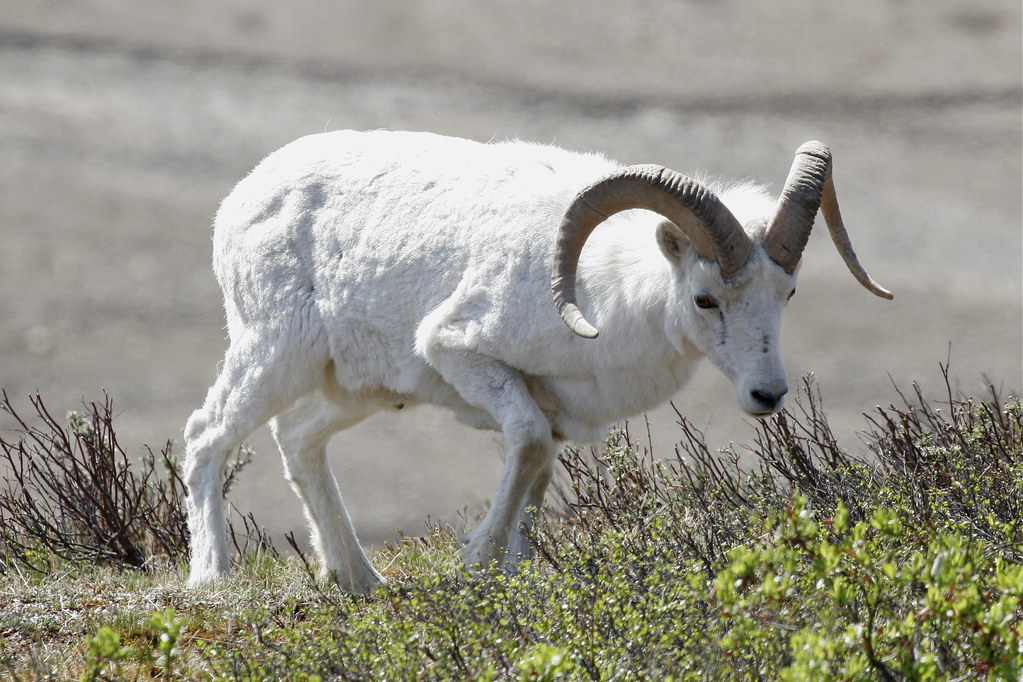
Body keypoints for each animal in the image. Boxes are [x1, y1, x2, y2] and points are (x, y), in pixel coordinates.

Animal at [183, 130, 892, 591]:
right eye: (705, 298)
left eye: (787, 294)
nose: (767, 396)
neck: (601, 293)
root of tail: (241, 201)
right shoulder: (464, 358)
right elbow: (524, 449)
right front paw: (477, 560)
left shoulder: (550, 409)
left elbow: (539, 474)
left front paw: (515, 570)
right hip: (274, 357)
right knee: (205, 437)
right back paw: (212, 578)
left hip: (353, 390)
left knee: (299, 442)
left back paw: (360, 579)